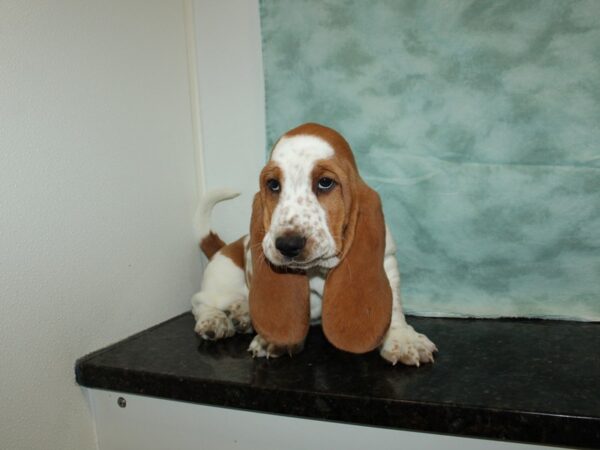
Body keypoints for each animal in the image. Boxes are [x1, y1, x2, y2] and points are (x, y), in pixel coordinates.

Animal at [192, 123, 436, 366]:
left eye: (325, 182)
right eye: (273, 185)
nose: (287, 244)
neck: (317, 269)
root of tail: (223, 247)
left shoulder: (387, 261)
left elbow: (394, 306)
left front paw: (403, 339)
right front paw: (272, 342)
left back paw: (242, 314)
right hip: (224, 282)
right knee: (200, 301)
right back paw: (214, 321)